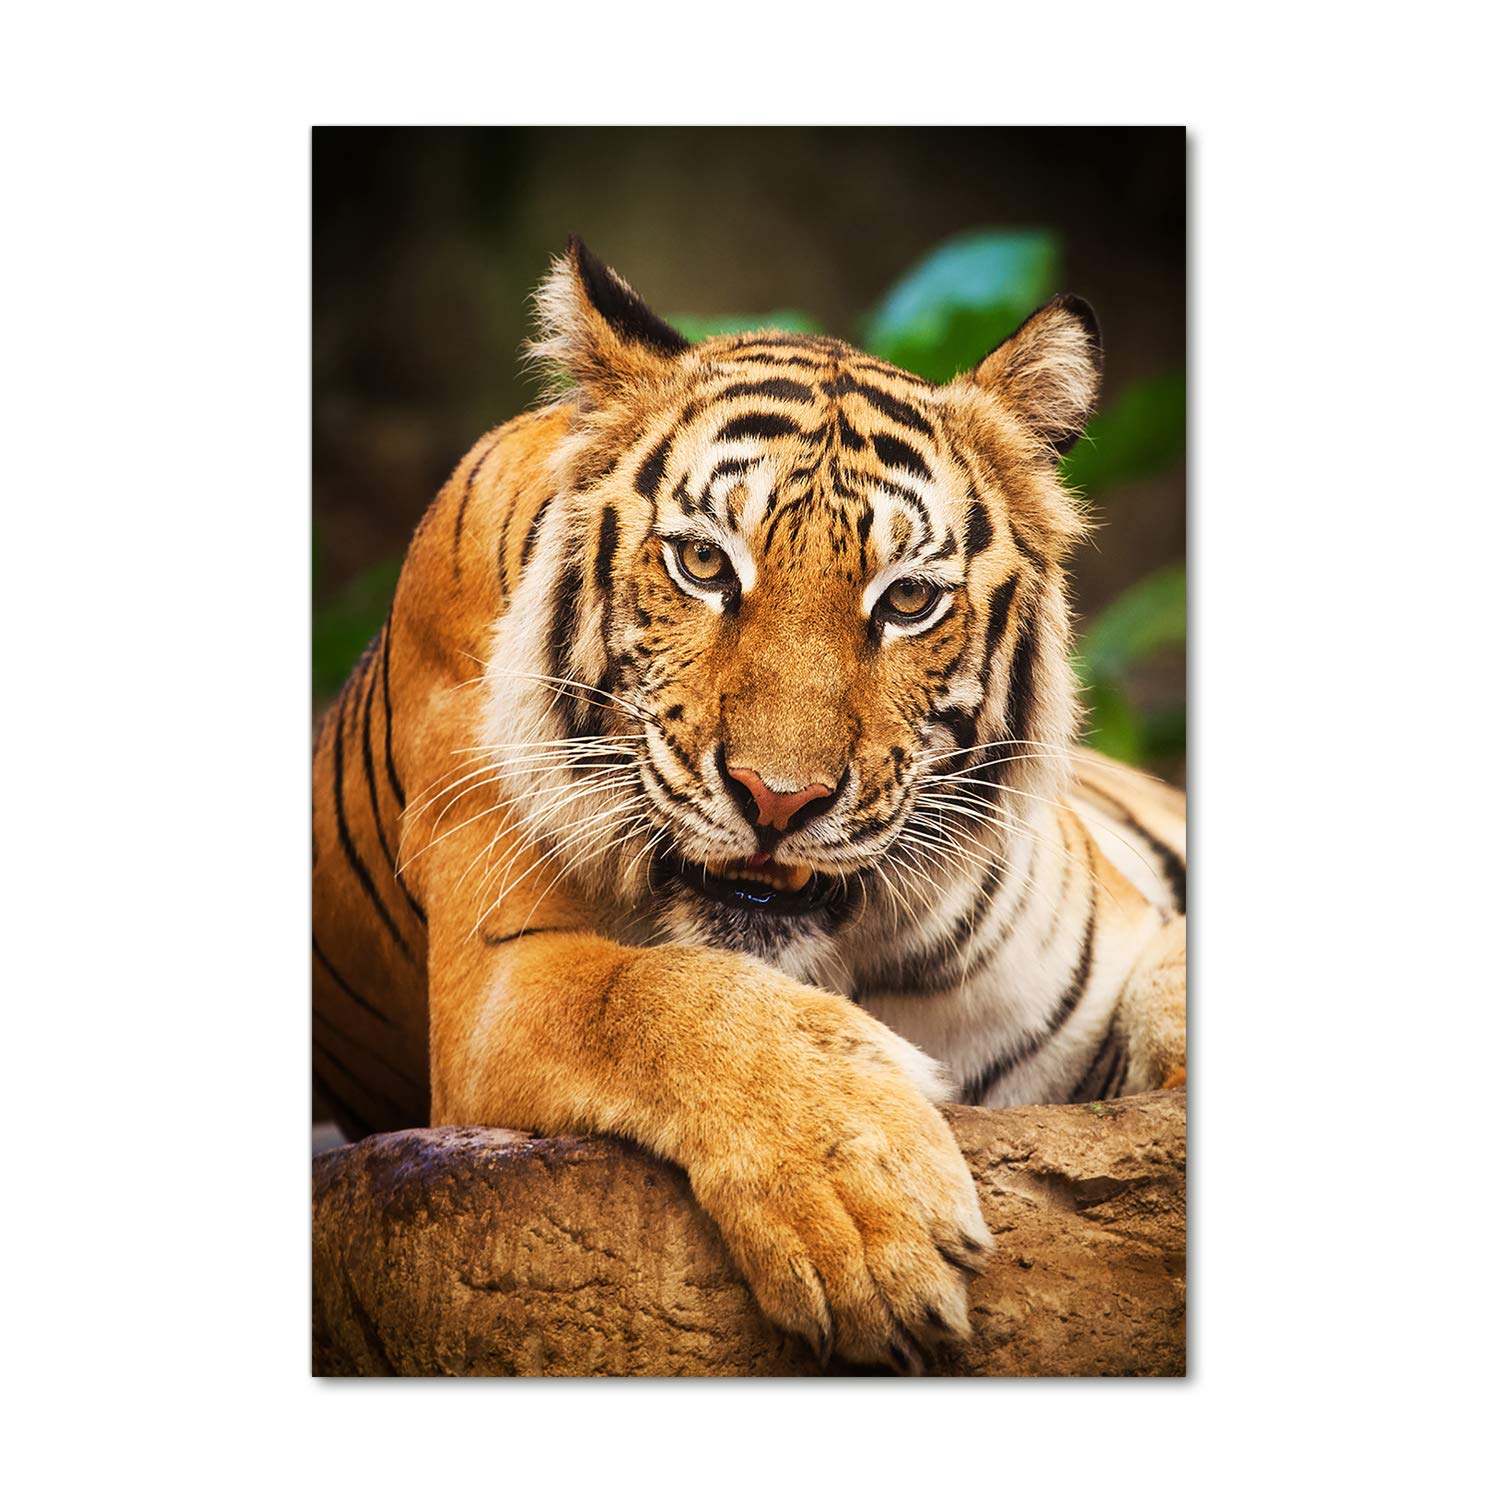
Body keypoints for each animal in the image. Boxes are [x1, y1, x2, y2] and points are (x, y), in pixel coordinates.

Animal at [311, 236, 1187, 1372]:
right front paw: (870, 1218)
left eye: (909, 601)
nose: (780, 799)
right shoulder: (491, 987)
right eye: (701, 564)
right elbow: (658, 994)